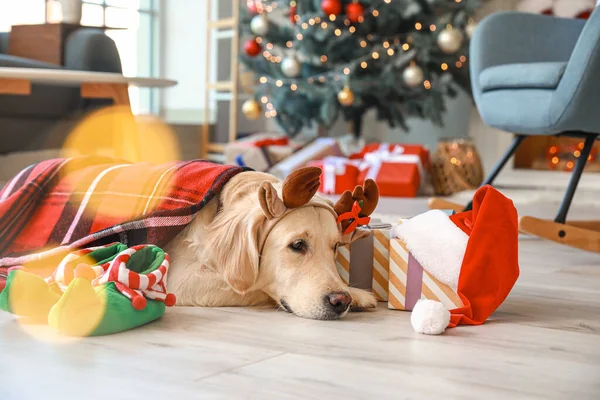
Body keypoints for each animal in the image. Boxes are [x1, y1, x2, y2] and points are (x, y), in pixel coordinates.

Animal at [165, 166, 380, 318]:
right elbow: (253, 286)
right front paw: (358, 294)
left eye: (334, 246)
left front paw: (355, 293)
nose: (341, 301)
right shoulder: (180, 278)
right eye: (297, 245)